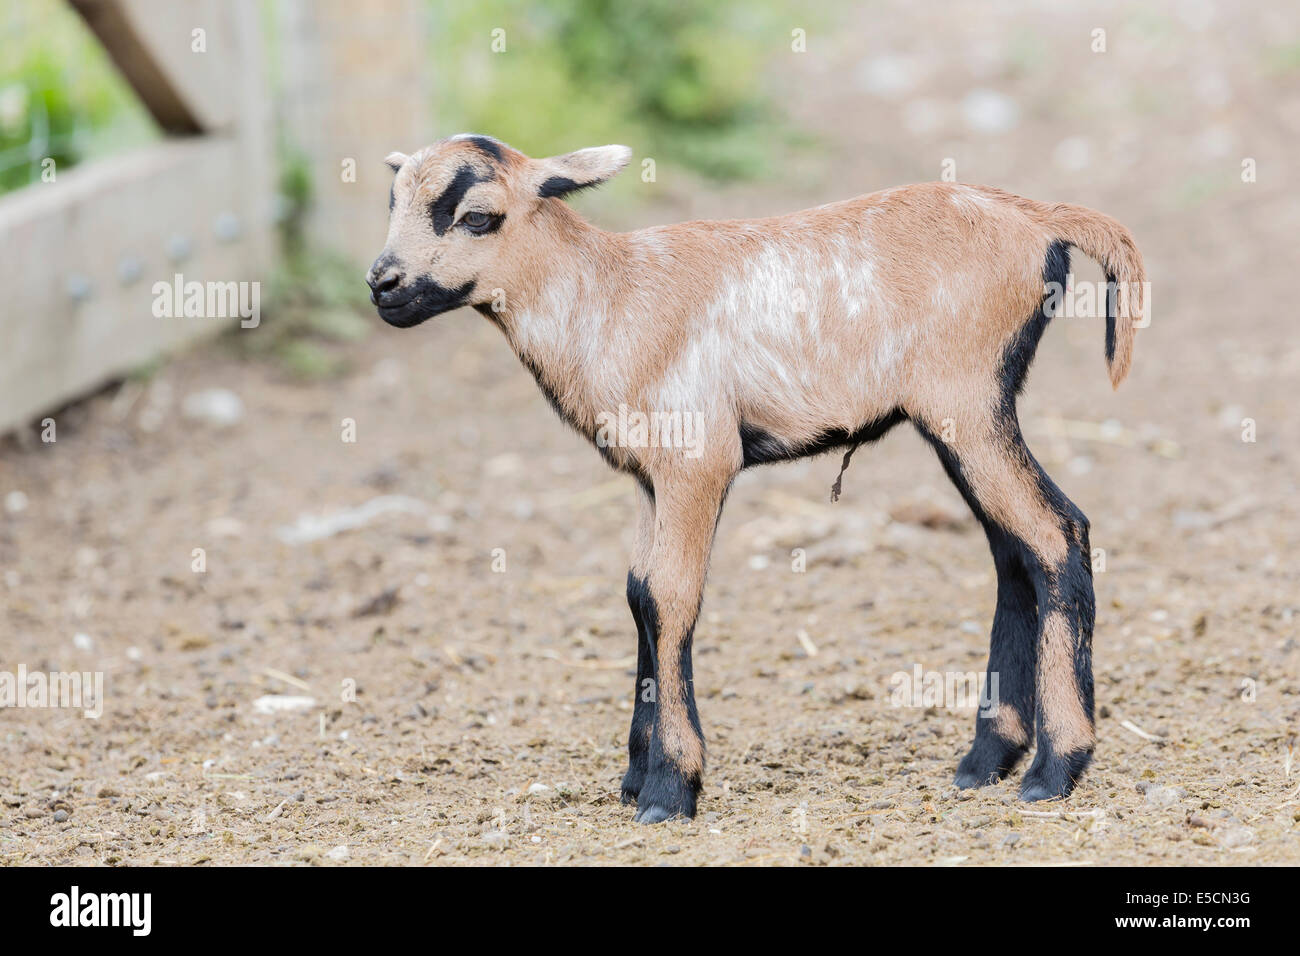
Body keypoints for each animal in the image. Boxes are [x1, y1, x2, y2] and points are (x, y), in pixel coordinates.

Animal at [366, 132, 1149, 822]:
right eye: (393, 201)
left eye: (476, 215)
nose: (383, 285)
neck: (609, 297)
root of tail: (1038, 216)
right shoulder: (652, 478)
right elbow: (637, 593)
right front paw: (635, 775)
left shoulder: (698, 460)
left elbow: (668, 596)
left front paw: (669, 789)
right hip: (962, 418)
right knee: (1013, 553)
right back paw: (986, 760)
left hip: (968, 399)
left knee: (1055, 532)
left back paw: (1055, 769)